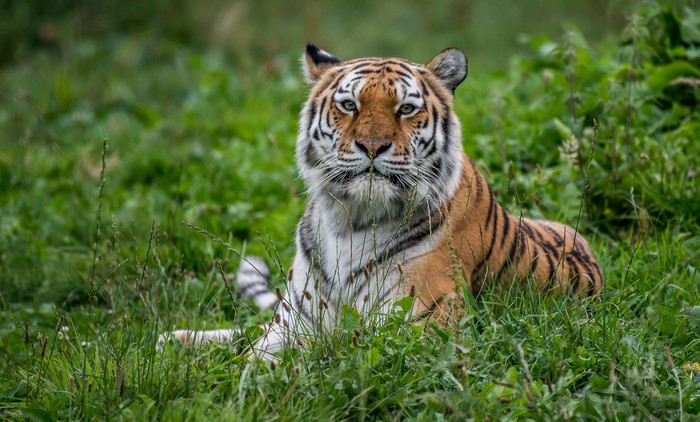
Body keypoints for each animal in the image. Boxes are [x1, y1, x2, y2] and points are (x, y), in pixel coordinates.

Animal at [158, 44, 603, 360]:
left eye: (406, 109)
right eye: (348, 105)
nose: (372, 146)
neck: (349, 221)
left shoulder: (424, 325)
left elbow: (333, 346)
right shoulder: (293, 320)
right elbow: (255, 354)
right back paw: (174, 338)